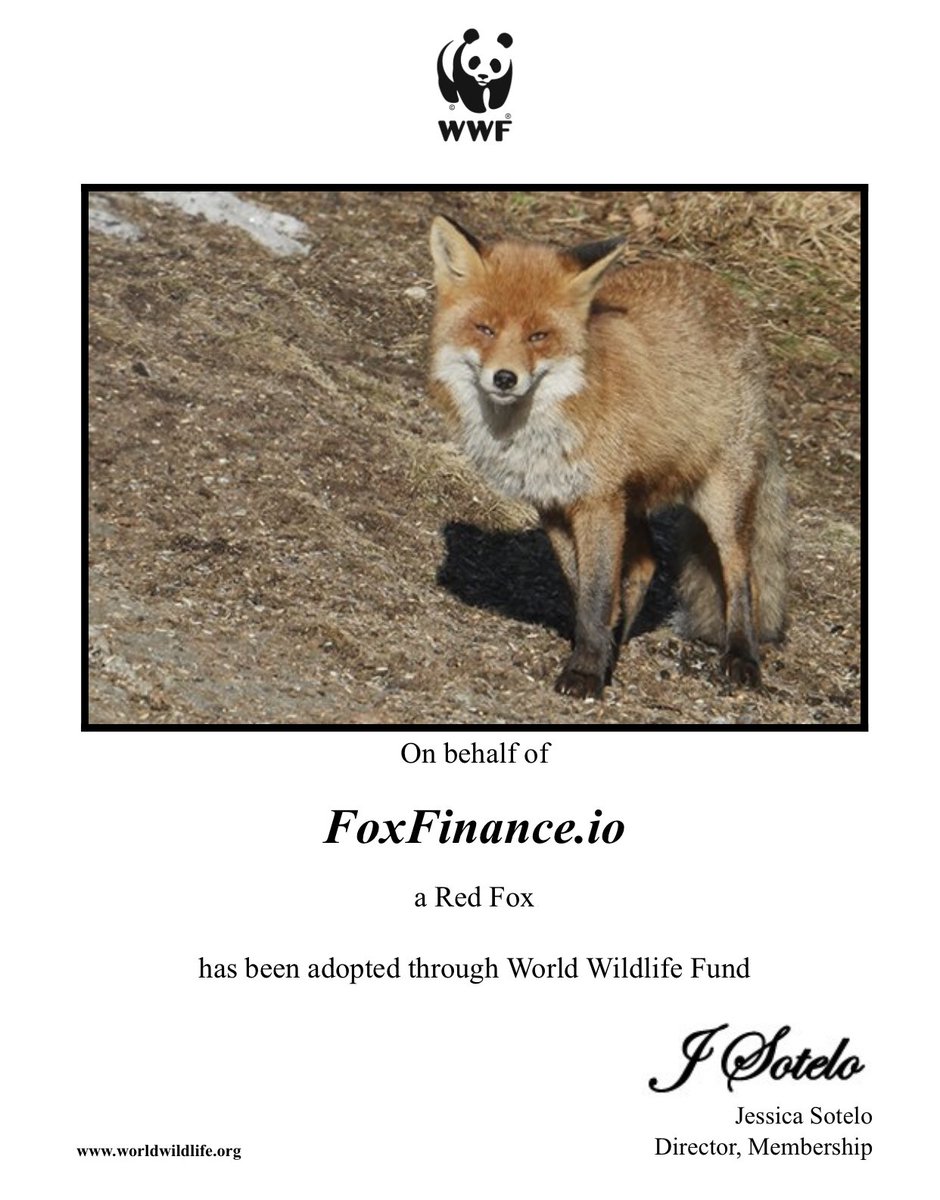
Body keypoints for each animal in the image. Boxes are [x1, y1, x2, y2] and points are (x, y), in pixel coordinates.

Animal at [427, 215, 788, 700]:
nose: (505, 378)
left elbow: (598, 593)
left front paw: (586, 671)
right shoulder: (555, 503)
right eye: (485, 329)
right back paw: (622, 637)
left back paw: (742, 656)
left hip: (719, 500)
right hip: (630, 501)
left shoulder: (597, 502)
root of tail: (720, 287)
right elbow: (583, 589)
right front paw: (596, 650)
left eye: (538, 336)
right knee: (647, 562)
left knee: (739, 574)